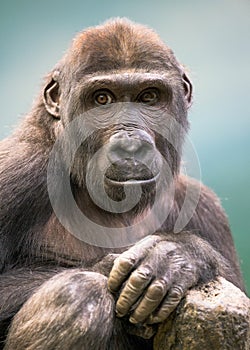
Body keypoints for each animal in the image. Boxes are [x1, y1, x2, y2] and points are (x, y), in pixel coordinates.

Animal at [0, 17, 244, 348]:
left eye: (149, 97)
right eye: (102, 99)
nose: (130, 144)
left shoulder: (204, 207)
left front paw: (177, 255)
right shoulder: (15, 172)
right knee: (77, 296)